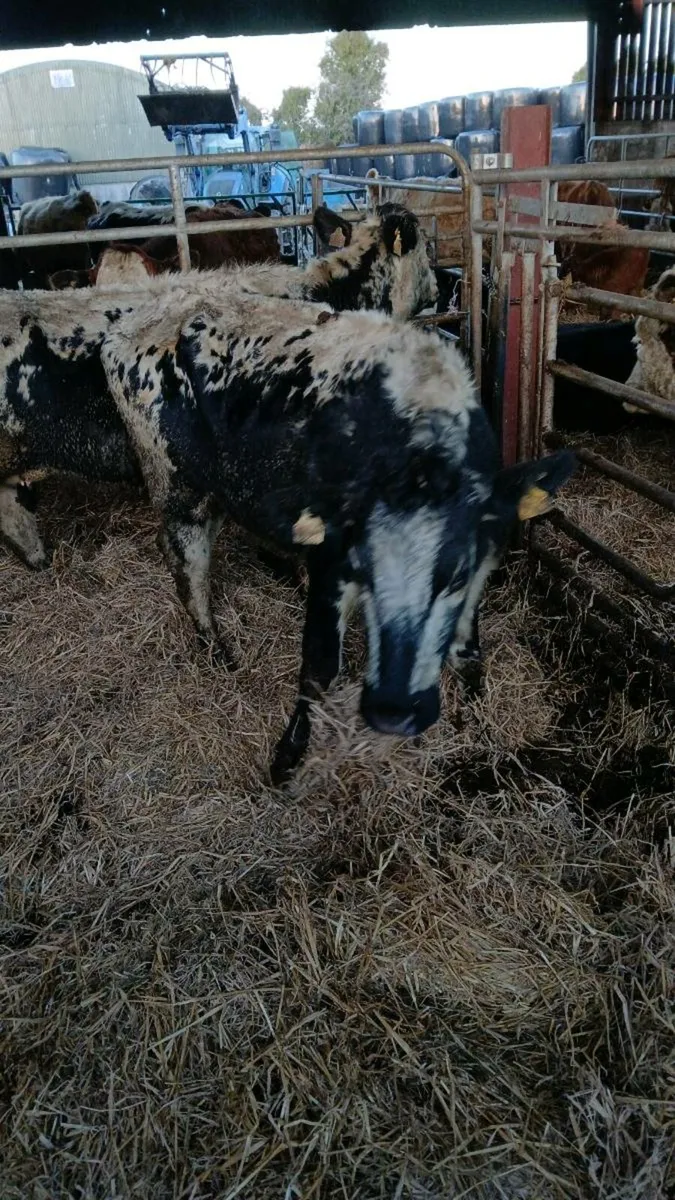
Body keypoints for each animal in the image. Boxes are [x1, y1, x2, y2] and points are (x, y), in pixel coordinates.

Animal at [0, 275, 575, 782]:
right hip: (178, 488)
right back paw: (217, 652)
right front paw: (288, 758)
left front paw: (478, 716)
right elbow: (318, 669)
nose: (397, 710)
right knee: (187, 567)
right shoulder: (332, 562)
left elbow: (467, 648)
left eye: (456, 575)